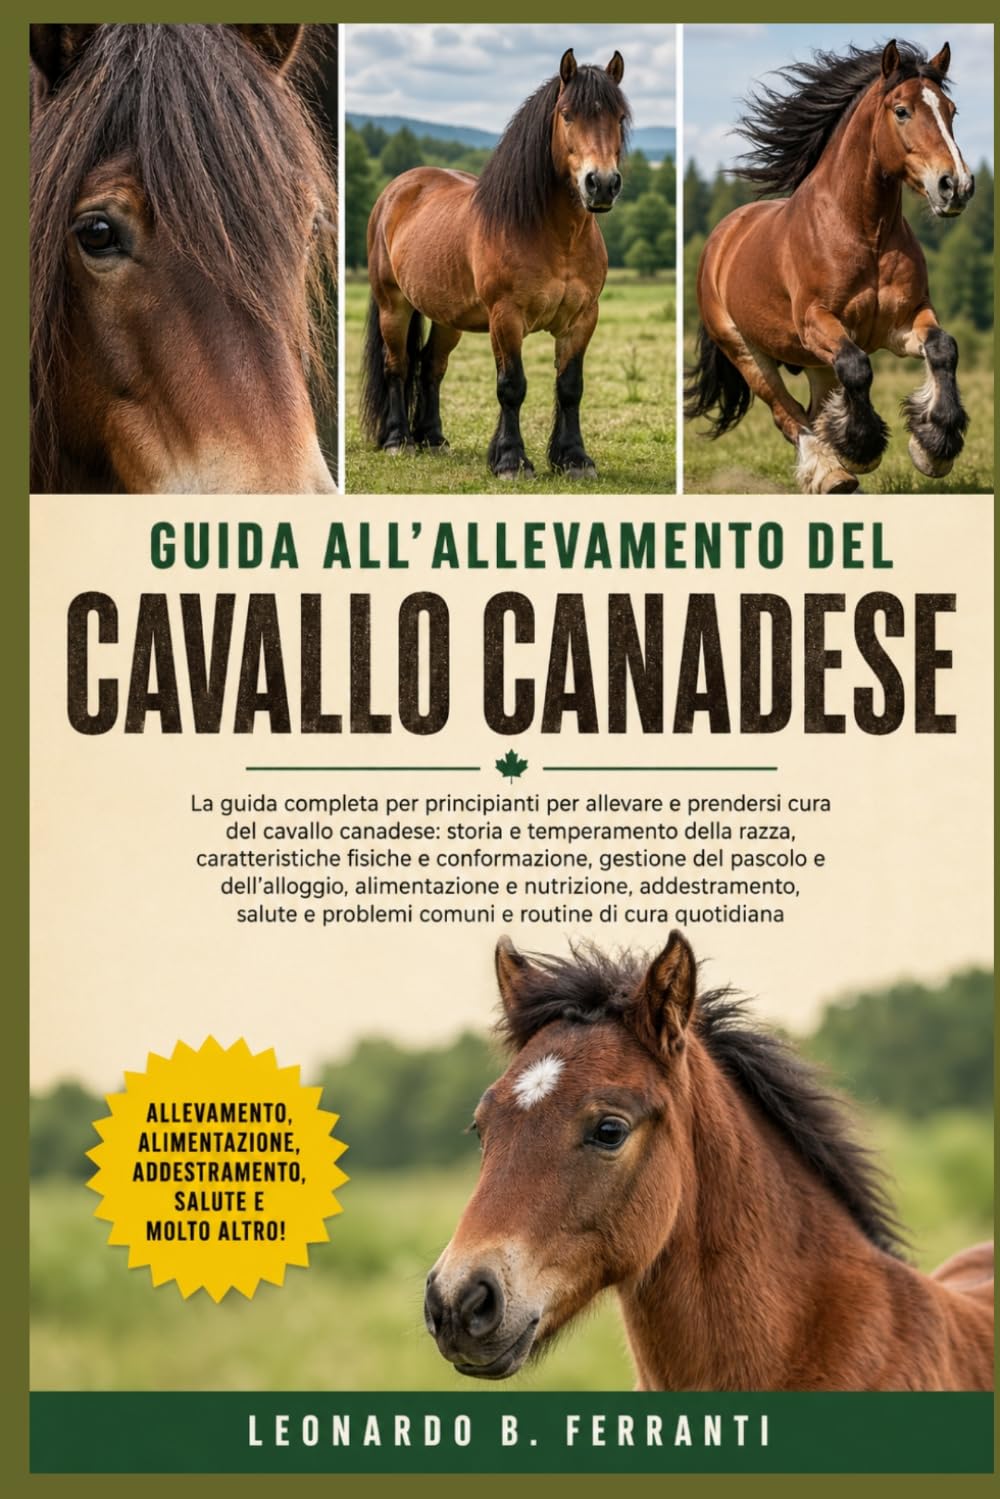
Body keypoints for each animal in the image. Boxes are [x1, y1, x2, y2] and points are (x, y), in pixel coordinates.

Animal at [361, 49, 629, 479]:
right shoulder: (506, 317)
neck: (555, 236)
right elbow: (511, 386)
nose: (601, 184)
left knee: (430, 365)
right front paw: (510, 460)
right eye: (568, 114)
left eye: (618, 118)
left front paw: (573, 458)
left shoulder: (583, 319)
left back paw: (432, 438)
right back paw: (398, 440)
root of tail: (396, 190)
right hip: (393, 306)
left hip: (447, 317)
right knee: (397, 365)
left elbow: (570, 387)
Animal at [685, 41, 974, 495]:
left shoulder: (904, 321)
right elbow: (858, 367)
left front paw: (933, 446)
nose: (956, 186)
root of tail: (721, 238)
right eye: (902, 111)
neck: (865, 232)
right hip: (747, 350)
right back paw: (833, 473)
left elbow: (944, 348)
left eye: (951, 110)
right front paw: (862, 447)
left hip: (817, 363)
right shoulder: (817, 322)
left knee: (814, 406)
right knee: (788, 414)